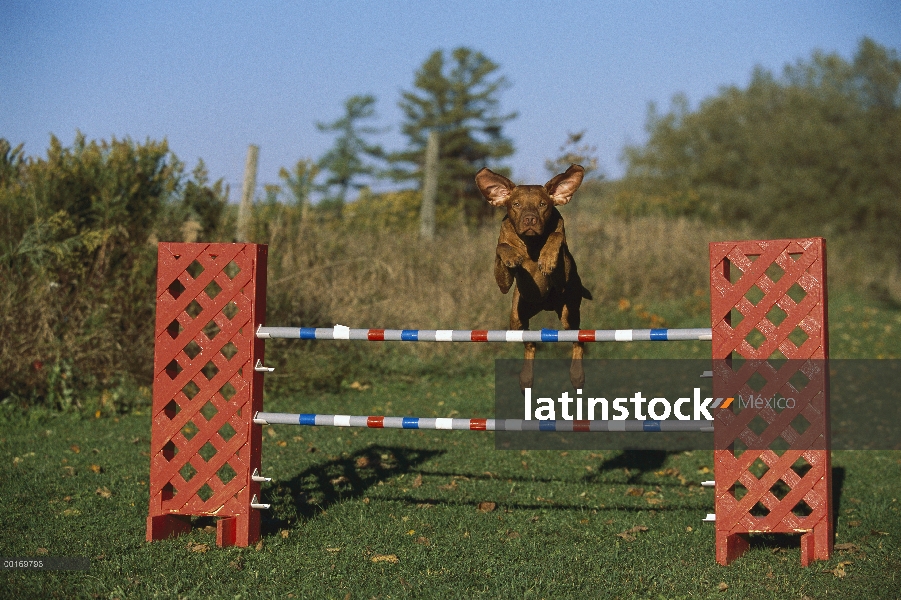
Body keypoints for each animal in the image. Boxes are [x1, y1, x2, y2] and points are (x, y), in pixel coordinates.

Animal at [472, 163, 592, 390]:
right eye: (516, 204)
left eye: (543, 204)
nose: (530, 219)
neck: (532, 243)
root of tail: (545, 306)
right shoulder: (502, 281)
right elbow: (501, 247)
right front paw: (512, 256)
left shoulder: (563, 276)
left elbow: (556, 236)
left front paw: (547, 258)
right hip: (517, 319)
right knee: (530, 343)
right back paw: (526, 377)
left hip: (569, 313)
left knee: (578, 340)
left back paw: (577, 375)